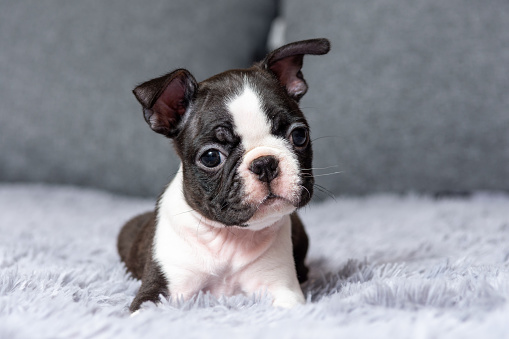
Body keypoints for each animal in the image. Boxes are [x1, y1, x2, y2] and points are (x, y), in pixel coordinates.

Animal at [116, 37, 330, 314]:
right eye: (211, 157)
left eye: (299, 135)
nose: (265, 163)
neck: (229, 236)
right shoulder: (160, 288)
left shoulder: (282, 287)